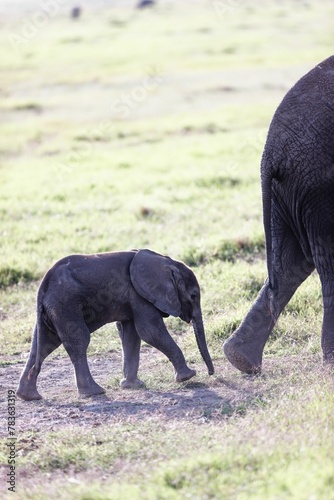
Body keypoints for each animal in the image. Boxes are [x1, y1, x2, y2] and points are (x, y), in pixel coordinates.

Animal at [17, 248, 214, 400]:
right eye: (193, 296)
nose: (211, 374)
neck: (166, 261)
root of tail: (43, 286)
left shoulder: (133, 298)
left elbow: (131, 334)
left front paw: (132, 386)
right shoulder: (139, 295)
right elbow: (150, 332)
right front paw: (188, 376)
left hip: (53, 309)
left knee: (43, 345)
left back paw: (29, 397)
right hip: (65, 304)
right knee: (78, 340)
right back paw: (94, 393)